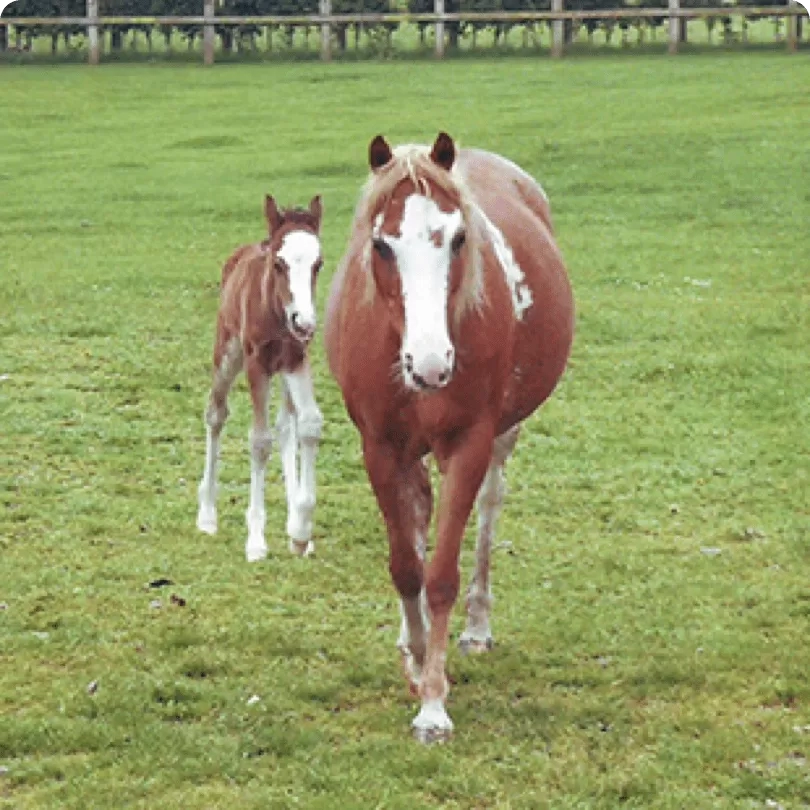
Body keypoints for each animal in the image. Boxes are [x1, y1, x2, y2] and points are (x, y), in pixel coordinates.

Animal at [326, 136, 572, 740]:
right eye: (381, 244)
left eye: (459, 238)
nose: (431, 363)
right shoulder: (380, 448)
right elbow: (405, 566)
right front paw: (416, 660)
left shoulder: (469, 444)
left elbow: (439, 577)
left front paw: (433, 704)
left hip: (501, 436)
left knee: (488, 509)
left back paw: (477, 627)